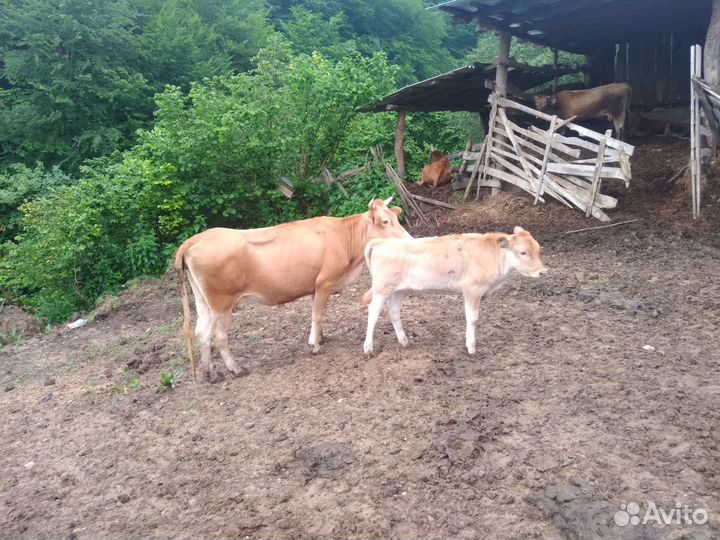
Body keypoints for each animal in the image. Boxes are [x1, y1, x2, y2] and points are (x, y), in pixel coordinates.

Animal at [174, 197, 410, 381]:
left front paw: (321, 337)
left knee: (202, 332)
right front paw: (315, 345)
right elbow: (317, 314)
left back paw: (210, 373)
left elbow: (317, 314)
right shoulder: (324, 282)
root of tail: (200, 237)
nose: (409, 239)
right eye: (385, 221)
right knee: (219, 335)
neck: (344, 238)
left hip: (203, 302)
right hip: (221, 303)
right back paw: (236, 369)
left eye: (396, 217)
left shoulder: (315, 287)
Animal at [362, 227, 546, 355]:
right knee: (373, 311)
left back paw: (404, 341)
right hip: (382, 288)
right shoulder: (472, 290)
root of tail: (382, 242)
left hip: (398, 290)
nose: (543, 272)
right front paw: (471, 347)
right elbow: (472, 319)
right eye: (523, 252)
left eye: (539, 250)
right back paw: (368, 347)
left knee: (393, 311)